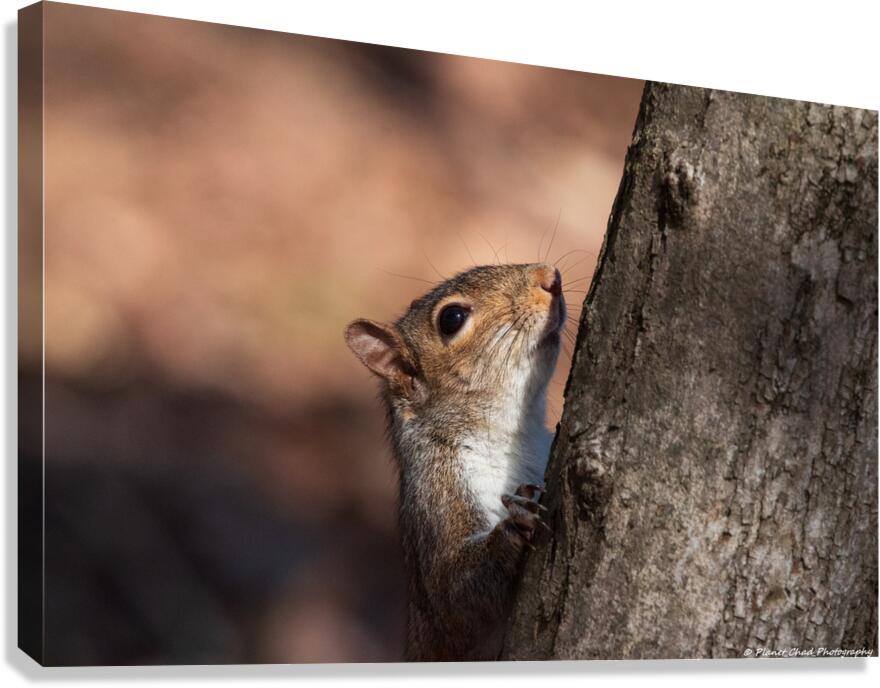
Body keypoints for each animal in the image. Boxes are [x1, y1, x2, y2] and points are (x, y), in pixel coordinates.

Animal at [344, 263, 565, 661]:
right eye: (452, 318)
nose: (549, 277)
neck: (516, 435)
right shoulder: (437, 492)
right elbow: (455, 597)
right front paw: (517, 521)